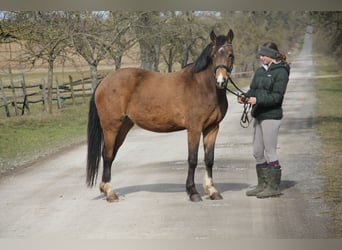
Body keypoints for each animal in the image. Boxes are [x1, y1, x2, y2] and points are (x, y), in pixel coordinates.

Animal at [87, 29, 234, 202]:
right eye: (213, 55)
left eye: (230, 55)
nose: (221, 81)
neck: (203, 87)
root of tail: (104, 82)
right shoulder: (194, 129)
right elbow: (192, 159)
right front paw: (193, 192)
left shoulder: (212, 128)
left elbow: (209, 159)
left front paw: (212, 190)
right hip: (111, 127)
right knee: (108, 155)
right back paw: (110, 193)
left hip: (123, 127)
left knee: (110, 155)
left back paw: (105, 189)